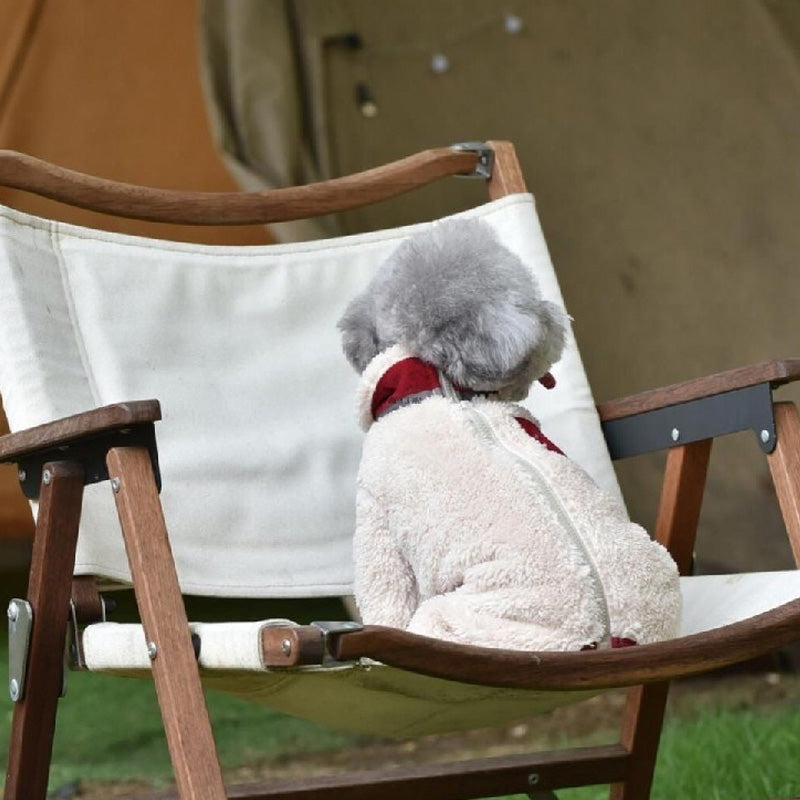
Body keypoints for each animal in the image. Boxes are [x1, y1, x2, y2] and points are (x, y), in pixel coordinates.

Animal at [338, 217, 680, 648]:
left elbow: (384, 584)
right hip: (655, 571)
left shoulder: (373, 504)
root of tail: (608, 635)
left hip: (476, 624)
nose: (559, 324)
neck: (445, 388)